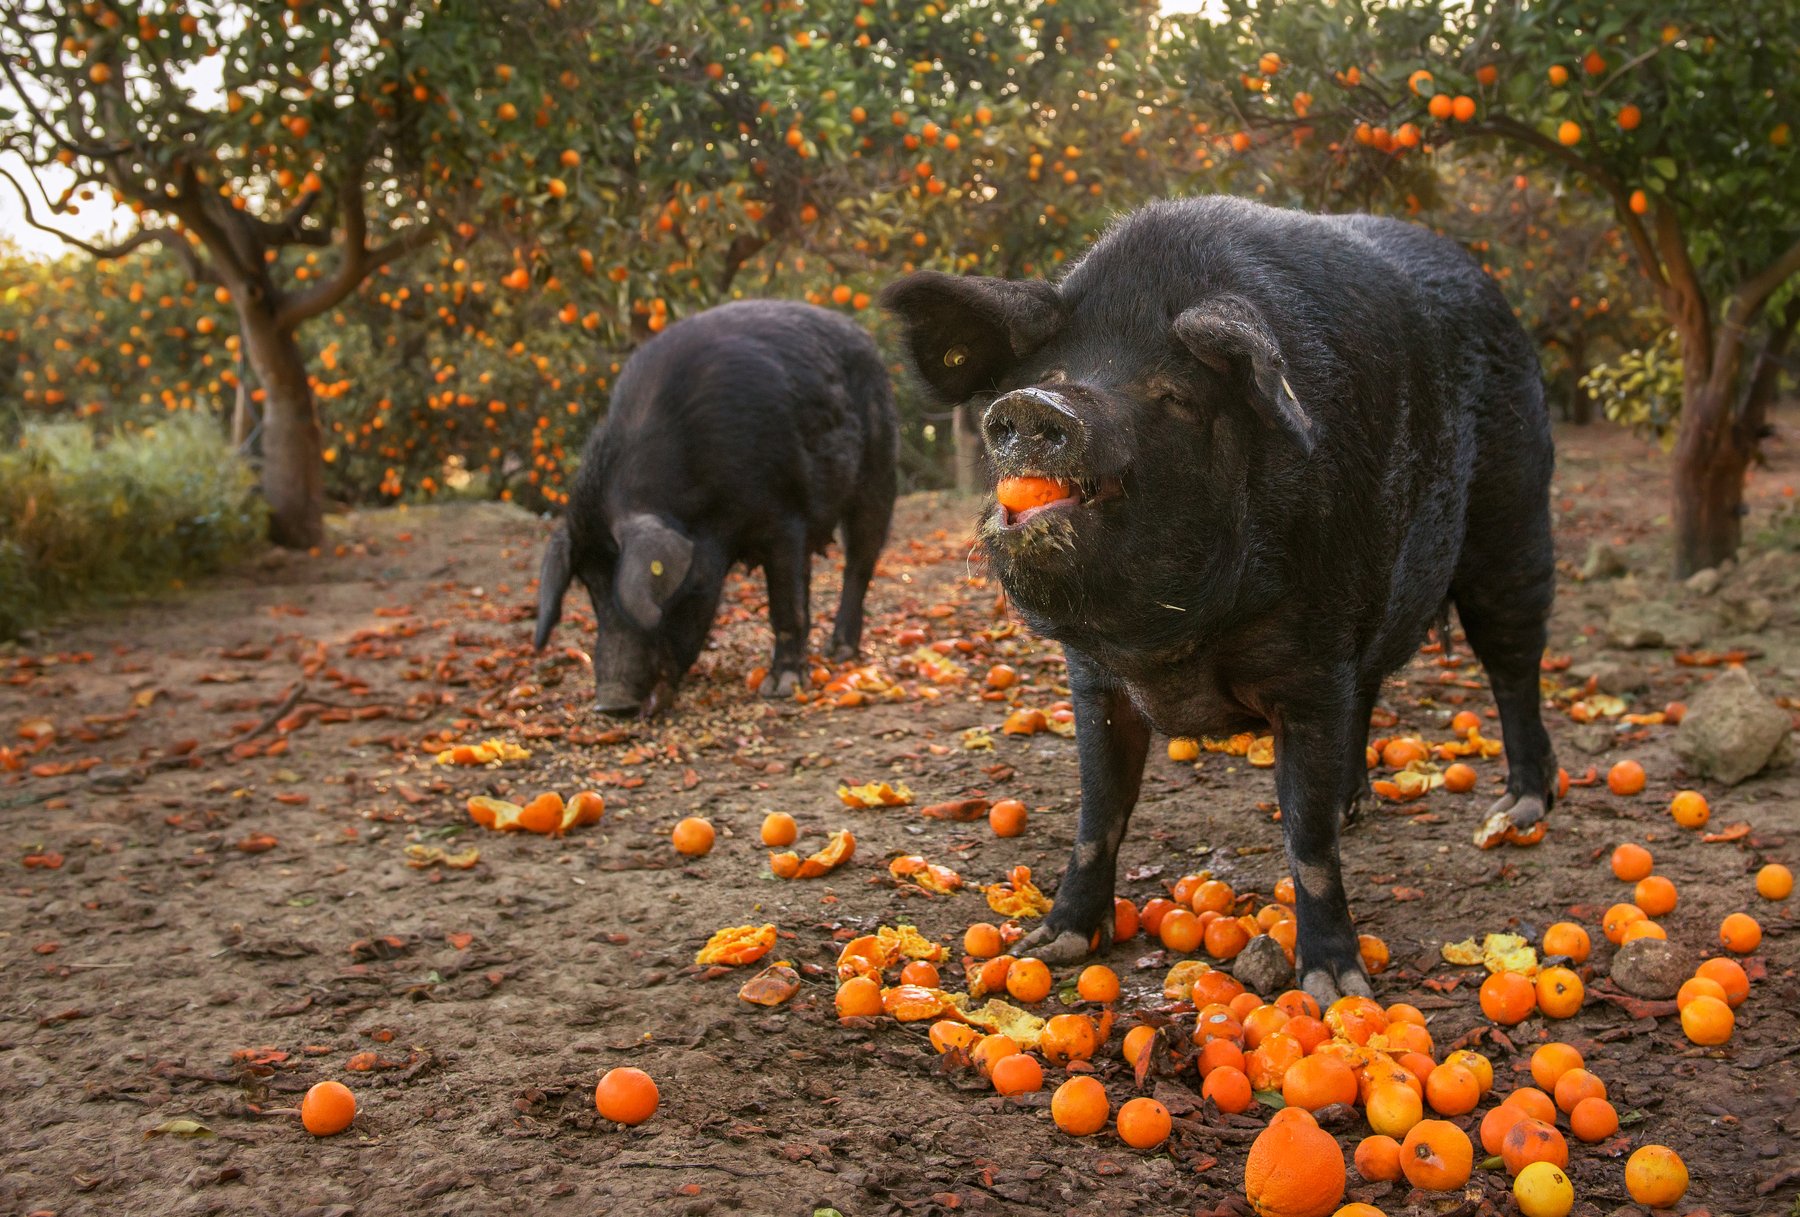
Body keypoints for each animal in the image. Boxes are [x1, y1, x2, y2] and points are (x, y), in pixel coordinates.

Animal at [532, 298, 900, 716]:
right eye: (592, 590)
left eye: (653, 592)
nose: (612, 703)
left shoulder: (786, 518)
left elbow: (785, 605)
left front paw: (781, 687)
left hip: (879, 471)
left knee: (859, 563)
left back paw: (839, 652)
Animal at [878, 195, 1555, 1000]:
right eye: (1052, 371)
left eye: (1174, 395)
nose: (1040, 404)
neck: (1166, 642)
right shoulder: (1093, 678)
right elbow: (1098, 809)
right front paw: (1052, 945)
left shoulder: (1311, 664)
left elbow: (1307, 838)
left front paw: (1336, 990)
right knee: (1373, 685)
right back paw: (1357, 806)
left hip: (1514, 519)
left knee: (1513, 663)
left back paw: (1520, 810)